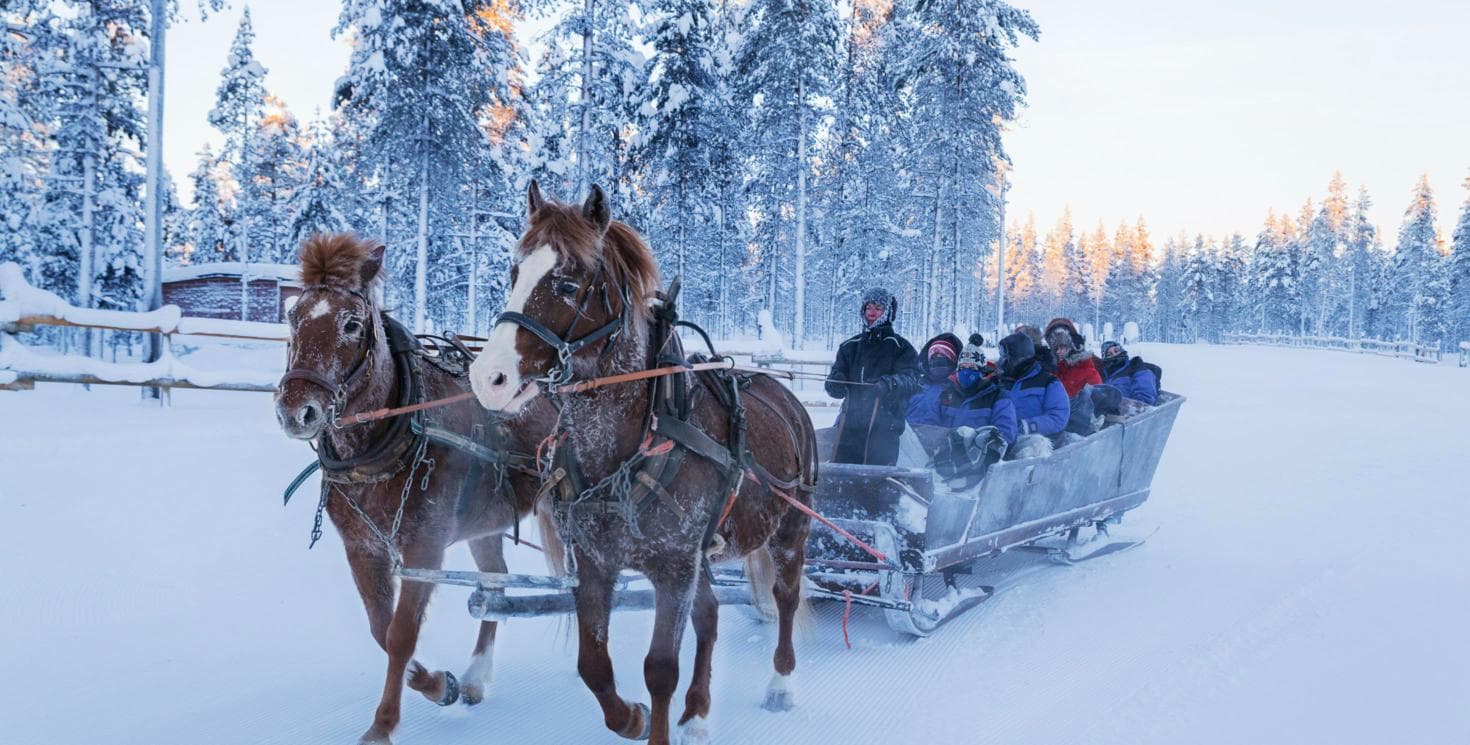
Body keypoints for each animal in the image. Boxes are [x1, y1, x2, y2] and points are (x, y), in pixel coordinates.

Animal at [274, 234, 562, 745]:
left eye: (351, 323)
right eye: (293, 317)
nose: (296, 411)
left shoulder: (424, 547)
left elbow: (401, 634)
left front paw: (383, 724)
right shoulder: (363, 548)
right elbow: (380, 628)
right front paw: (438, 685)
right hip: (485, 522)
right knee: (496, 580)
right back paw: (474, 676)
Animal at [467, 183, 819, 745]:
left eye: (568, 283)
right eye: (513, 273)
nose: (488, 377)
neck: (631, 445)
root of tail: (785, 393)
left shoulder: (674, 568)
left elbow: (660, 670)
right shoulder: (596, 564)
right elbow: (594, 664)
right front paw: (630, 717)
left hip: (789, 532)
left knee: (785, 597)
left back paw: (781, 684)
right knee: (710, 618)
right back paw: (697, 713)